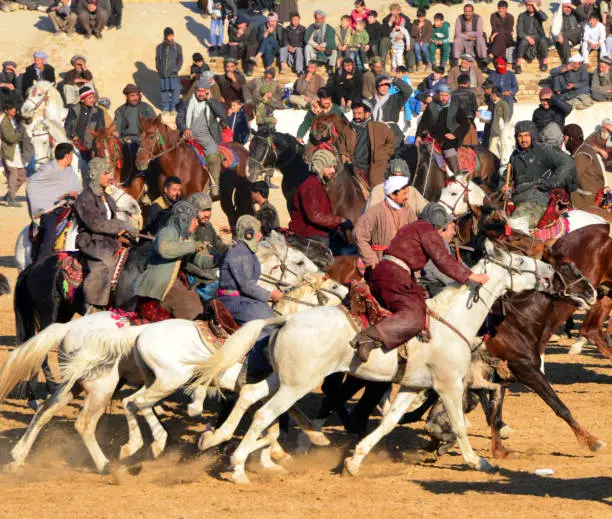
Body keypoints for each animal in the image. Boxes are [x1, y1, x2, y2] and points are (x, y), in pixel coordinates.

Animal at [189, 242, 556, 486]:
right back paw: (239, 467)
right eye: (520, 260)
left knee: (250, 396)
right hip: (296, 385)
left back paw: (218, 438)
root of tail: (286, 320)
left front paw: (354, 461)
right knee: (265, 414)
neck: (451, 320)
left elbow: (389, 422)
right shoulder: (449, 385)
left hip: (282, 379)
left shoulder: (410, 386)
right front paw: (478, 462)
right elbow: (459, 425)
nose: (551, 271)